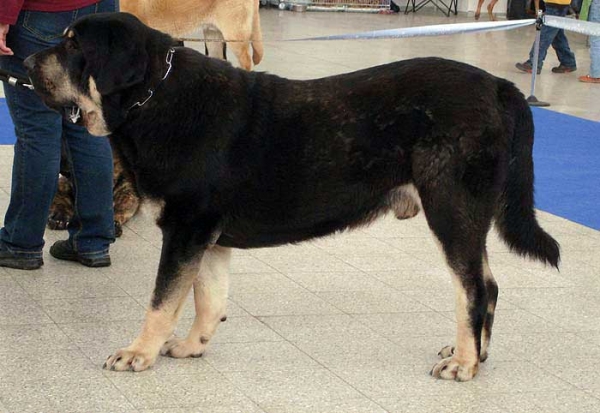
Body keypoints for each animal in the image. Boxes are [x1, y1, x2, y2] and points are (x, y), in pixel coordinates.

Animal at [22, 12, 556, 380]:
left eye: (72, 45)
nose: (23, 60)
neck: (155, 97)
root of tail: (500, 87)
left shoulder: (185, 229)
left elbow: (162, 300)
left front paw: (139, 352)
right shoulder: (207, 237)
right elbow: (207, 299)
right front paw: (193, 346)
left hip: (451, 210)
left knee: (474, 288)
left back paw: (464, 363)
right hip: (464, 217)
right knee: (488, 284)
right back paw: (475, 353)